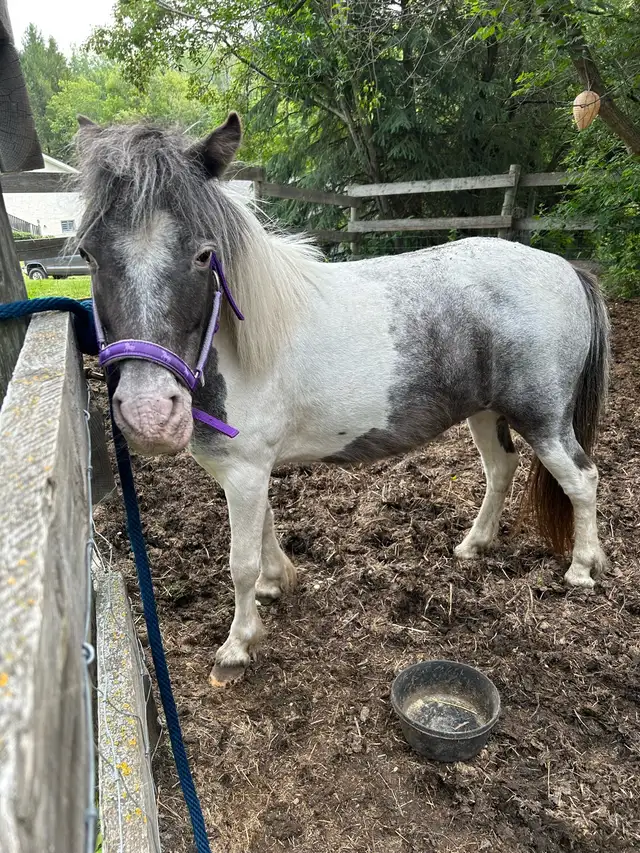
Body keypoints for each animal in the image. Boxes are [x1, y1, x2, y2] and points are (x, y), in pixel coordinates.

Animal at [74, 114, 610, 686]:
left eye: (203, 256)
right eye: (89, 254)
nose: (150, 415)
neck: (239, 342)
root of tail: (565, 268)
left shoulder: (244, 470)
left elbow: (240, 562)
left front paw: (238, 645)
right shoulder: (249, 469)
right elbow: (265, 528)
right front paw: (276, 582)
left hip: (543, 420)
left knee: (582, 479)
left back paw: (582, 567)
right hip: (486, 412)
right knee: (501, 469)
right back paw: (475, 544)